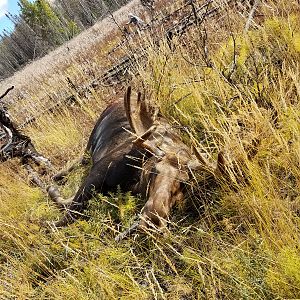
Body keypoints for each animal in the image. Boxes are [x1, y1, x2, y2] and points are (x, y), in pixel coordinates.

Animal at [47, 85, 225, 238]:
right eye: (154, 170)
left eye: (184, 183)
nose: (153, 220)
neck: (136, 179)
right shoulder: (97, 172)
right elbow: (68, 213)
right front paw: (51, 209)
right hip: (90, 142)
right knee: (79, 160)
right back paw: (57, 175)